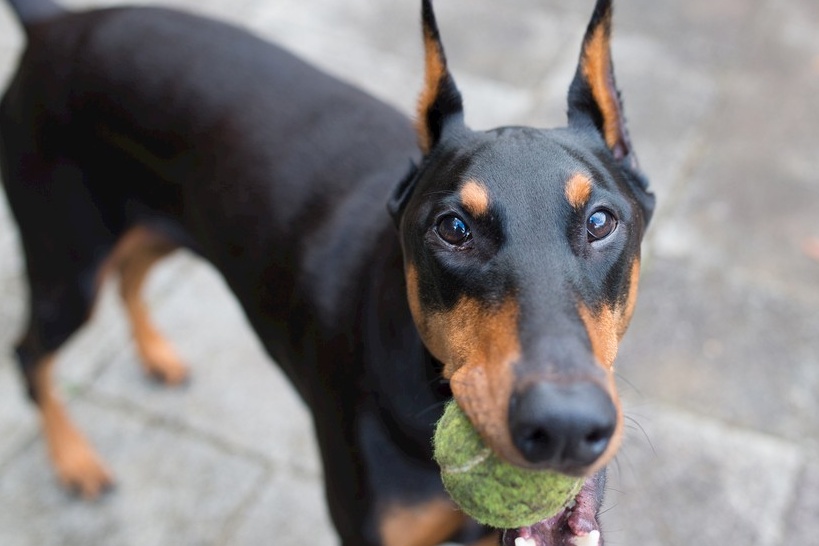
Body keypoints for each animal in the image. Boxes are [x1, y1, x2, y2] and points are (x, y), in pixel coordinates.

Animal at [0, 0, 652, 540]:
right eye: (453, 229)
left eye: (601, 221)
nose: (563, 427)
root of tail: (54, 23)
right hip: (67, 266)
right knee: (30, 354)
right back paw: (75, 461)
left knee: (130, 276)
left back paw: (156, 354)